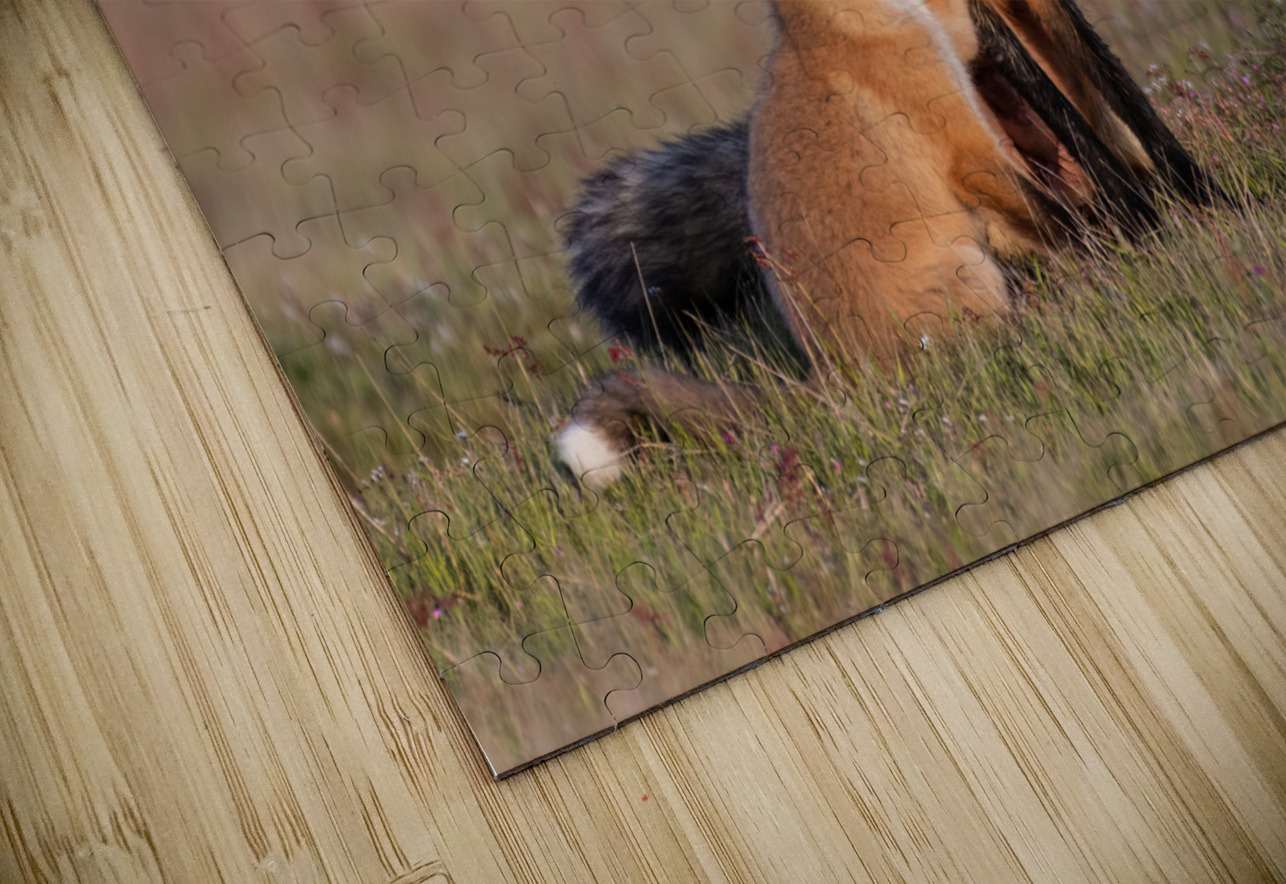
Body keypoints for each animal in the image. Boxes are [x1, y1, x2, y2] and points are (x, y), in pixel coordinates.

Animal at [557, 0, 1221, 488]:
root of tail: (834, 381)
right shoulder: (966, 149)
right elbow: (1073, 208)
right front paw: (1147, 243)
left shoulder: (973, 57)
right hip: (965, 275)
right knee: (995, 341)